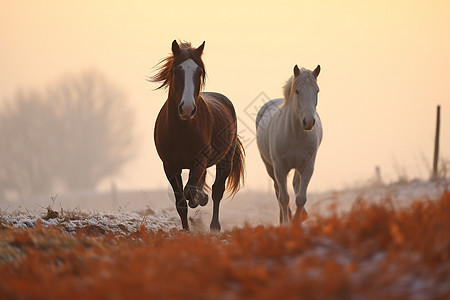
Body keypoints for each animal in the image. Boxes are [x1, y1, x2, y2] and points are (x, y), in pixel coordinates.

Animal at [151, 39, 244, 232]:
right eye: (176, 70)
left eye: (199, 71)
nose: (187, 108)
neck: (182, 129)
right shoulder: (170, 167)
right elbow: (181, 202)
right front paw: (186, 230)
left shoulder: (199, 160)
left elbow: (191, 190)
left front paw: (200, 198)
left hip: (225, 161)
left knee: (217, 191)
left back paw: (214, 226)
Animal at [255, 65, 322, 225]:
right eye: (297, 91)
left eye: (316, 91)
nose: (308, 122)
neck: (295, 135)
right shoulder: (279, 168)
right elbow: (284, 198)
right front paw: (286, 223)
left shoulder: (307, 166)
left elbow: (301, 198)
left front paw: (297, 221)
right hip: (270, 167)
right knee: (277, 190)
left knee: (295, 185)